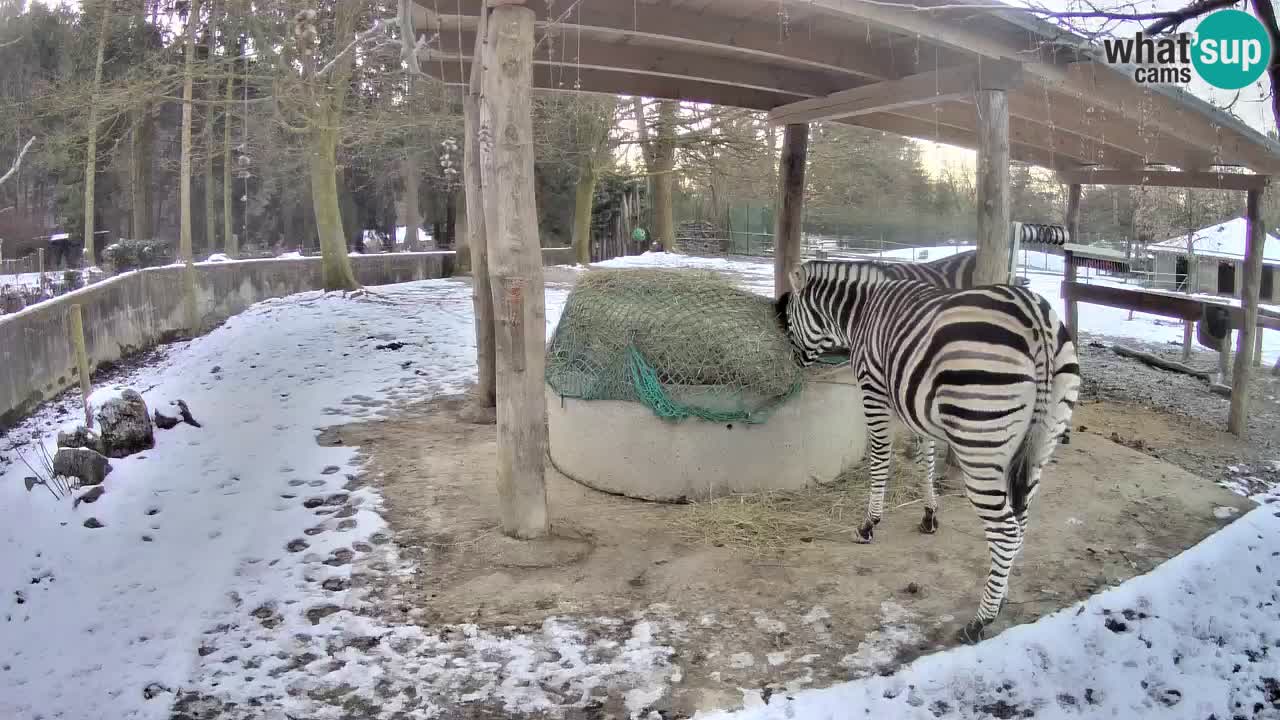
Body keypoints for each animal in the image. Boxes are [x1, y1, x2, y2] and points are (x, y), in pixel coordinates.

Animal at [768, 257, 1080, 638]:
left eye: (788, 319)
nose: (793, 364)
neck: (861, 312)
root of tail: (1036, 318)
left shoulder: (874, 390)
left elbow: (881, 456)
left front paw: (869, 524)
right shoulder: (917, 404)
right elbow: (925, 460)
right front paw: (929, 516)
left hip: (979, 441)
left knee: (1006, 530)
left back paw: (980, 620)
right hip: (1041, 442)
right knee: (1020, 521)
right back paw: (1000, 593)